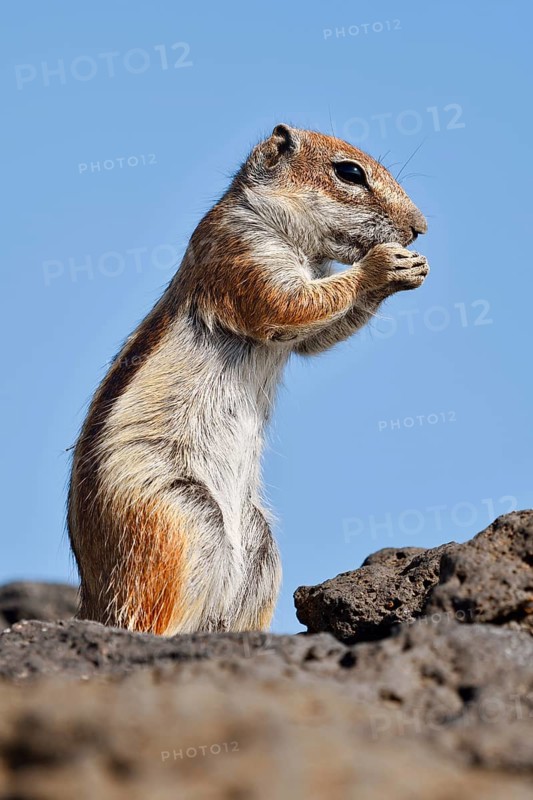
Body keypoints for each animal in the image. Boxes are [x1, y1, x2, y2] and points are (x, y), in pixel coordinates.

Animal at [68, 124, 429, 636]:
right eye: (350, 173)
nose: (420, 228)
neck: (299, 243)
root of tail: (92, 596)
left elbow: (314, 336)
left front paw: (411, 270)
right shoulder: (243, 254)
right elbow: (291, 304)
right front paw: (383, 266)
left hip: (260, 548)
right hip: (177, 516)